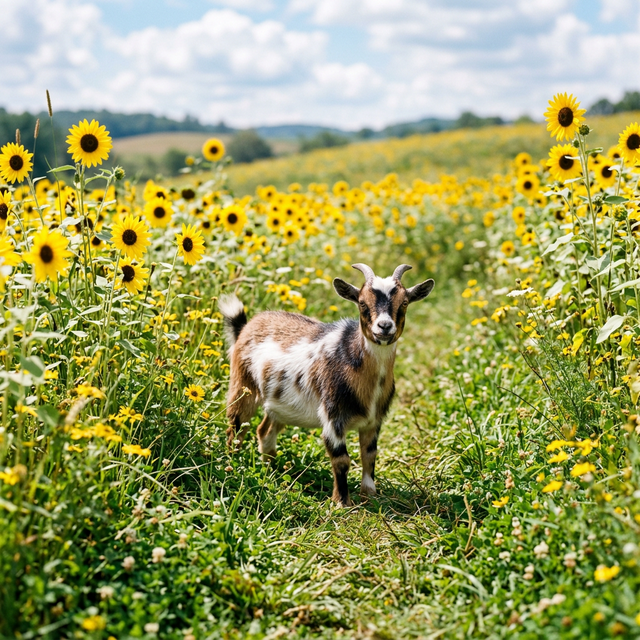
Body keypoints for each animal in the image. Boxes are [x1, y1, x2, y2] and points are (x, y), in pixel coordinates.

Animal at [219, 263, 434, 506]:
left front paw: (370, 494)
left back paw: (270, 470)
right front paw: (342, 502)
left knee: (264, 430)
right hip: (242, 385)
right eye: (362, 302)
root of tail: (246, 326)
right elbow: (341, 459)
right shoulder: (333, 417)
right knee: (236, 428)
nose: (384, 326)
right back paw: (233, 464)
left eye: (404, 302)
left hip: (279, 405)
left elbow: (369, 454)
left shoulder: (374, 420)